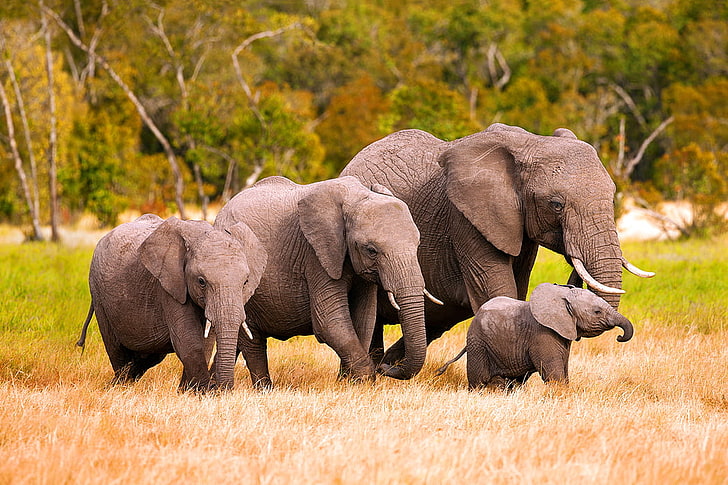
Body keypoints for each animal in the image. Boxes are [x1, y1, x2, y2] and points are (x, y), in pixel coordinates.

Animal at [76, 214, 268, 392]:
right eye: (201, 281)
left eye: (245, 282)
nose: (221, 389)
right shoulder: (169, 285)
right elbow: (188, 340)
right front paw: (202, 393)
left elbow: (206, 342)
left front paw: (186, 392)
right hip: (98, 293)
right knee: (116, 350)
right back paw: (118, 386)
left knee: (148, 357)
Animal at [213, 174, 436, 386]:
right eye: (371, 250)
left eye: (417, 244)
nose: (385, 367)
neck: (355, 196)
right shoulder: (316, 255)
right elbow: (330, 321)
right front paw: (363, 382)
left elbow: (364, 319)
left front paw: (347, 383)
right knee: (253, 344)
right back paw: (263, 390)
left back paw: (213, 387)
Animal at [342, 124, 656, 366]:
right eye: (556, 205)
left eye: (612, 195)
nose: (620, 336)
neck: (532, 142)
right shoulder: (466, 218)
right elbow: (498, 289)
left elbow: (517, 289)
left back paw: (388, 367)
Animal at [436, 282, 636, 388]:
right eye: (597, 312)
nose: (619, 337)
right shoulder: (542, 334)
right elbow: (553, 374)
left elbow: (564, 368)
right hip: (478, 343)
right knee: (479, 381)